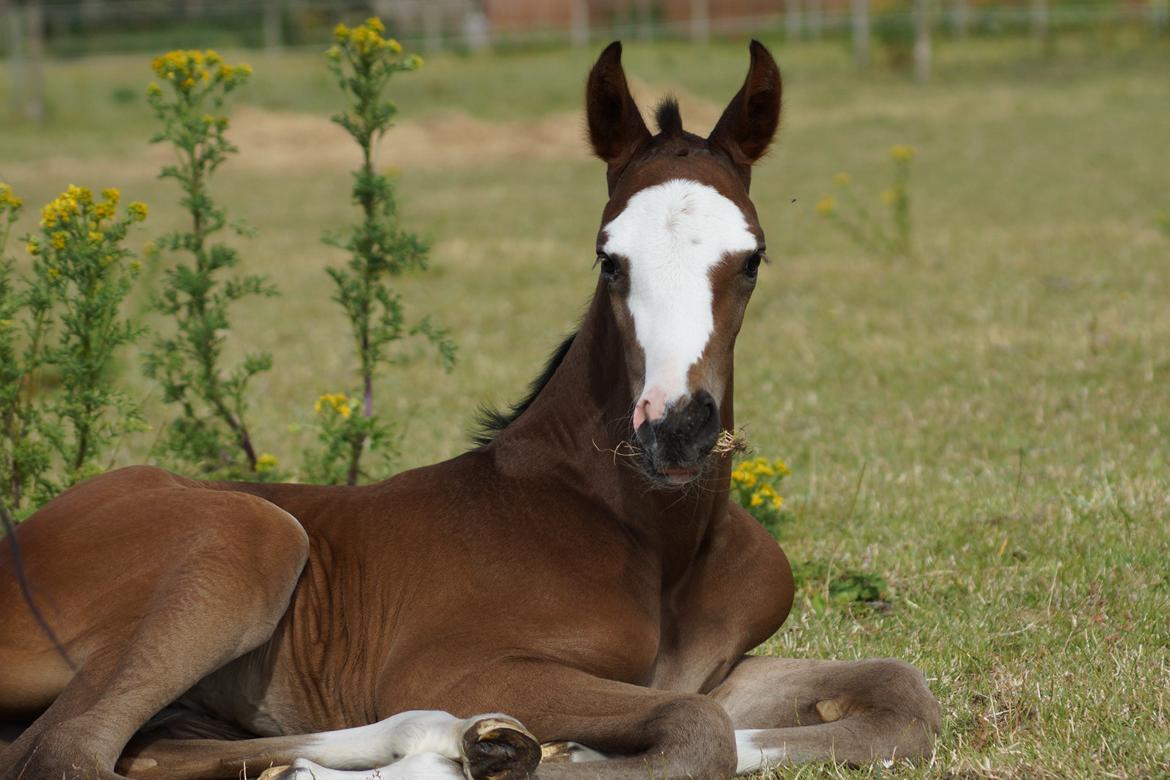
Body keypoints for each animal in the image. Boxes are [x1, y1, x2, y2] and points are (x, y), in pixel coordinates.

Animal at [0, 42, 935, 780]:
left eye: (751, 259)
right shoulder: (454, 665)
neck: (655, 538)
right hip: (250, 539)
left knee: (149, 747)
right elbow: (698, 731)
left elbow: (897, 697)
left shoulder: (716, 670)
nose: (676, 429)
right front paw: (542, 751)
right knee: (66, 750)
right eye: (608, 258)